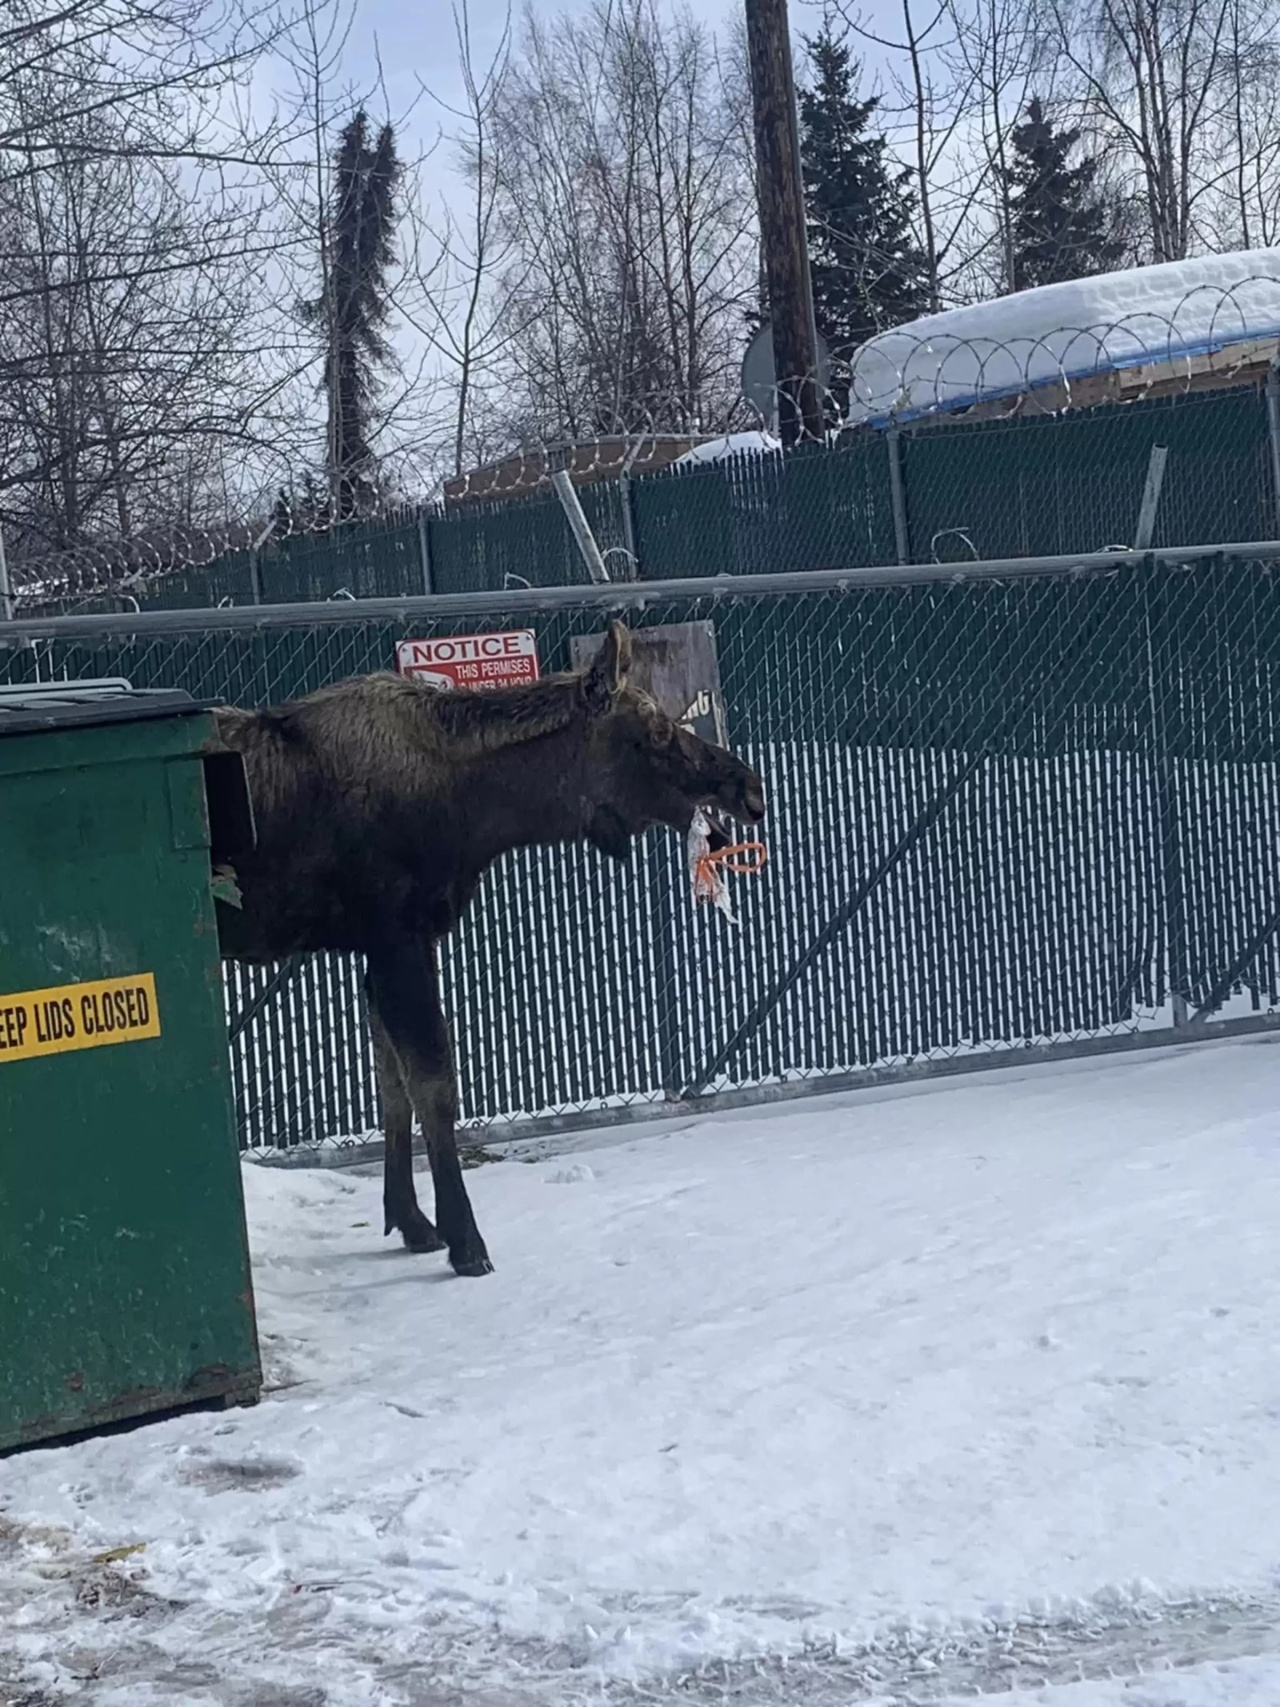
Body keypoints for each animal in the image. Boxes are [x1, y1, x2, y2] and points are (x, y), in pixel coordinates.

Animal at [211, 621, 768, 1276]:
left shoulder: (384, 947)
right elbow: (434, 1088)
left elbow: (392, 1087)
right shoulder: (397, 937)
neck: (479, 814)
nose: (749, 788)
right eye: (655, 732)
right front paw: (464, 1239)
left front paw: (411, 1221)